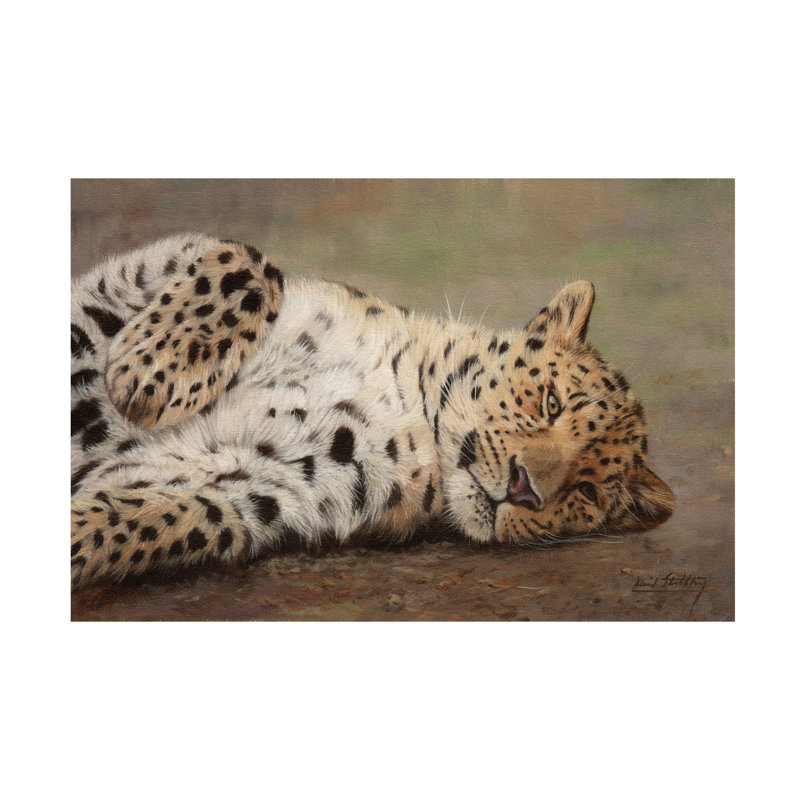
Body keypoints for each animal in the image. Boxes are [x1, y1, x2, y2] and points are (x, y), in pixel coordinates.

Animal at [70, 233, 675, 588]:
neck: (403, 397)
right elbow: (249, 260)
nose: (525, 488)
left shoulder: (263, 491)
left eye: (586, 491)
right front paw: (148, 375)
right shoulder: (121, 281)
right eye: (550, 402)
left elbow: (142, 521)